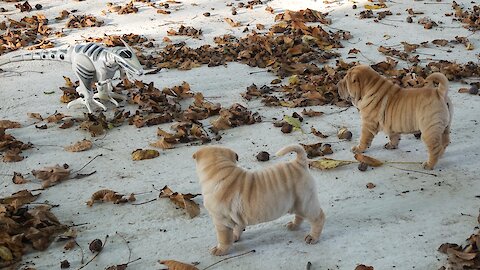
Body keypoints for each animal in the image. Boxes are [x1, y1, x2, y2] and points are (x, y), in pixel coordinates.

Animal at [192, 143, 326, 255]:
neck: (221, 171)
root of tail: (299, 162)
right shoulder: (236, 216)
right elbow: (237, 228)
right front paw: (235, 237)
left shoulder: (221, 220)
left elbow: (223, 237)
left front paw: (220, 250)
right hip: (298, 202)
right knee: (300, 215)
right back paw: (293, 226)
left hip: (306, 202)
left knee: (318, 217)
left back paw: (312, 237)